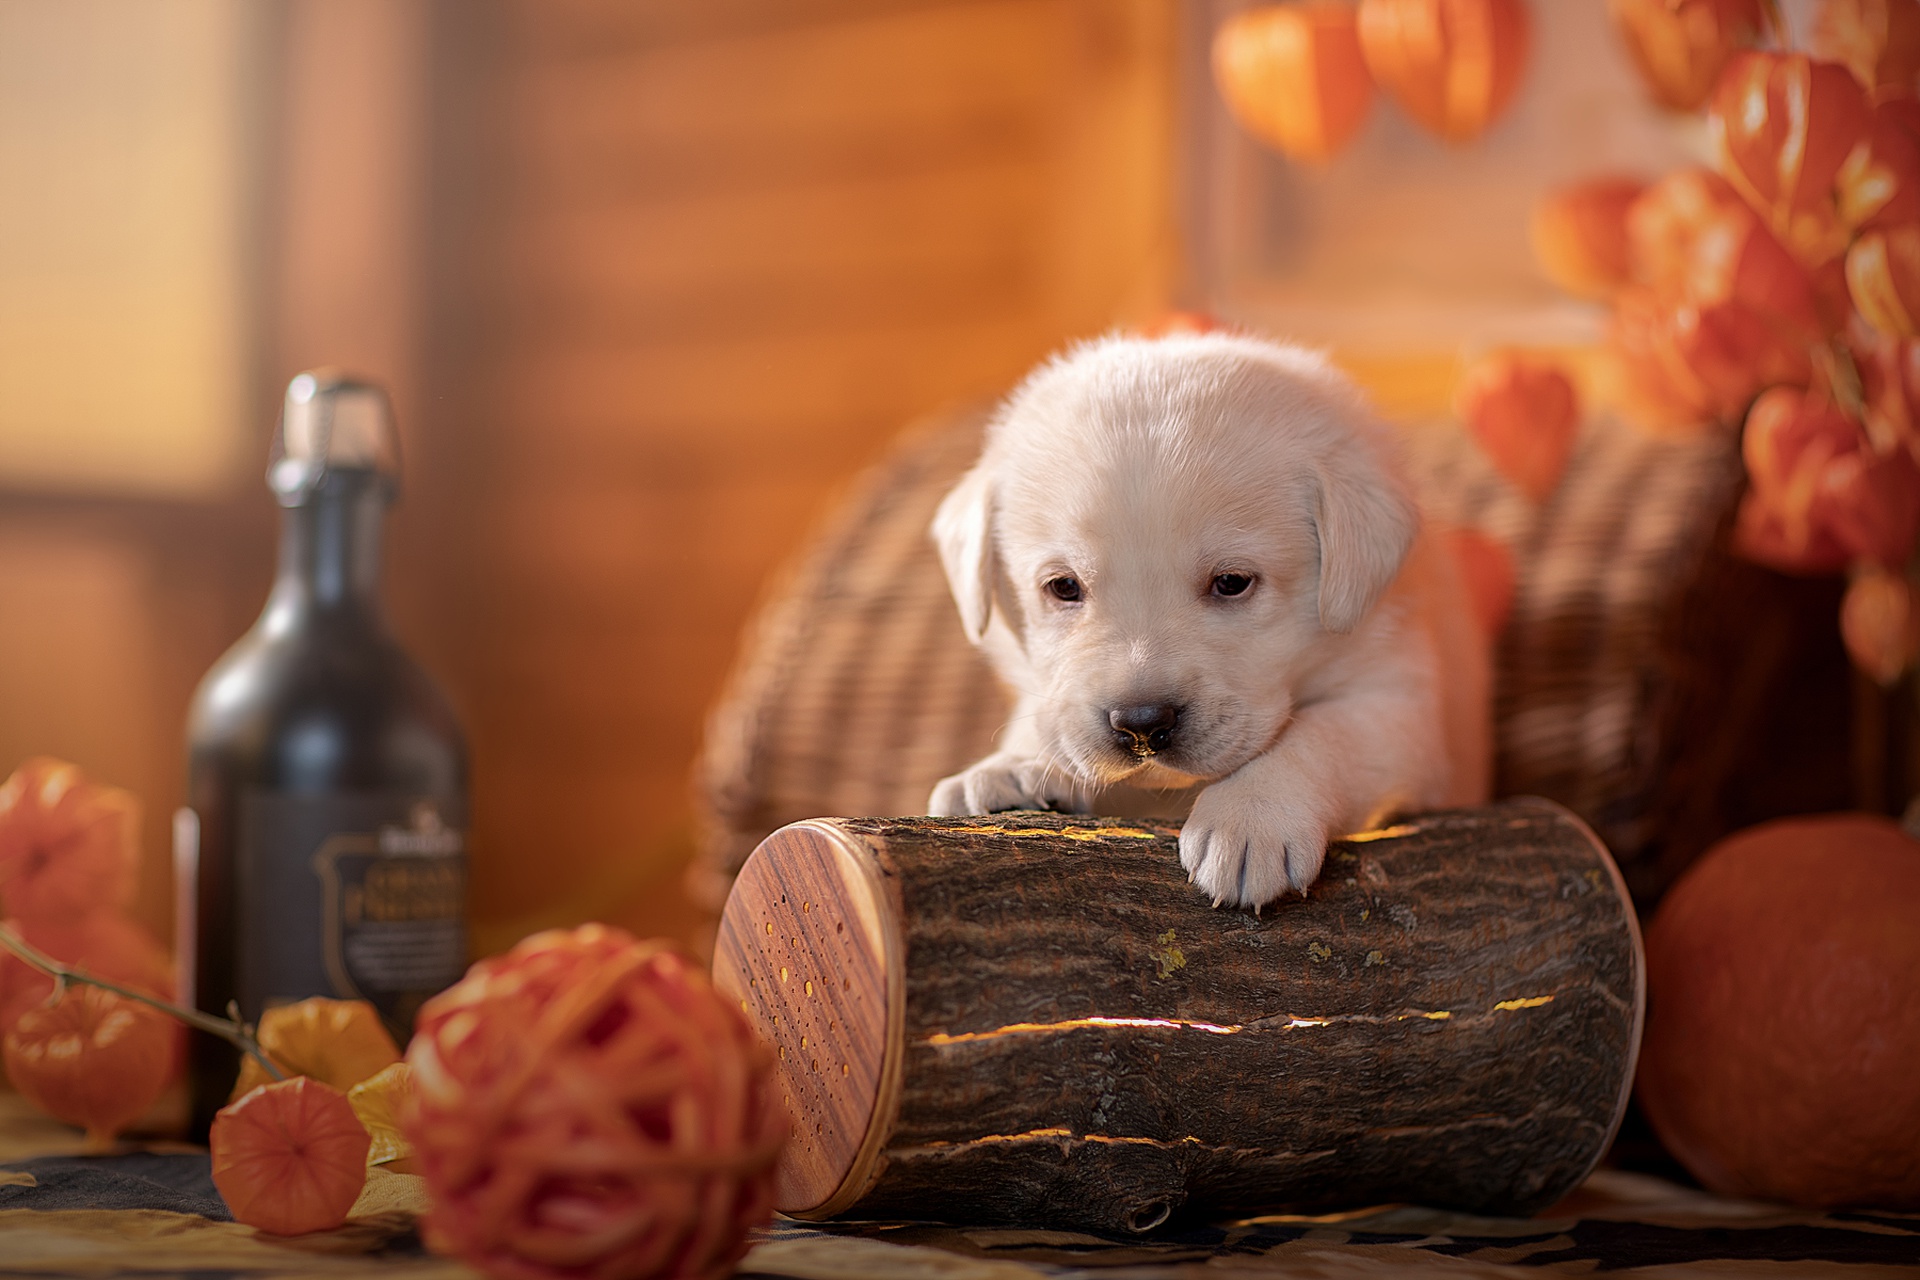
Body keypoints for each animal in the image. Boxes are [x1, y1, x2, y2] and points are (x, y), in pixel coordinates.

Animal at [921, 333, 1489, 909]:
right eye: (1063, 587)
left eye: (1232, 582)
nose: (1141, 724)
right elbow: (1045, 720)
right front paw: (1011, 766)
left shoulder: (1400, 707)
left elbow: (1323, 734)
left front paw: (1253, 814)